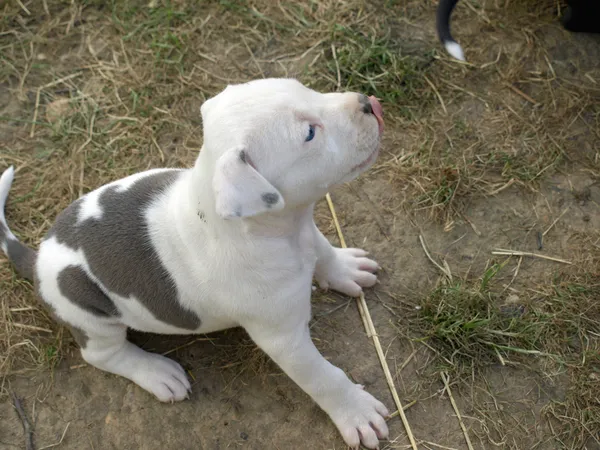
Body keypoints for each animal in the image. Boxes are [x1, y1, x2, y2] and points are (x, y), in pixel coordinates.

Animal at [0, 79, 390, 448]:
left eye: (307, 89)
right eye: (310, 133)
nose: (368, 103)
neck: (275, 231)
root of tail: (39, 257)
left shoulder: (307, 231)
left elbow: (323, 250)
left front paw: (346, 269)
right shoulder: (284, 339)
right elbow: (323, 377)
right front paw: (356, 412)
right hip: (89, 315)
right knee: (102, 354)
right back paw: (158, 372)